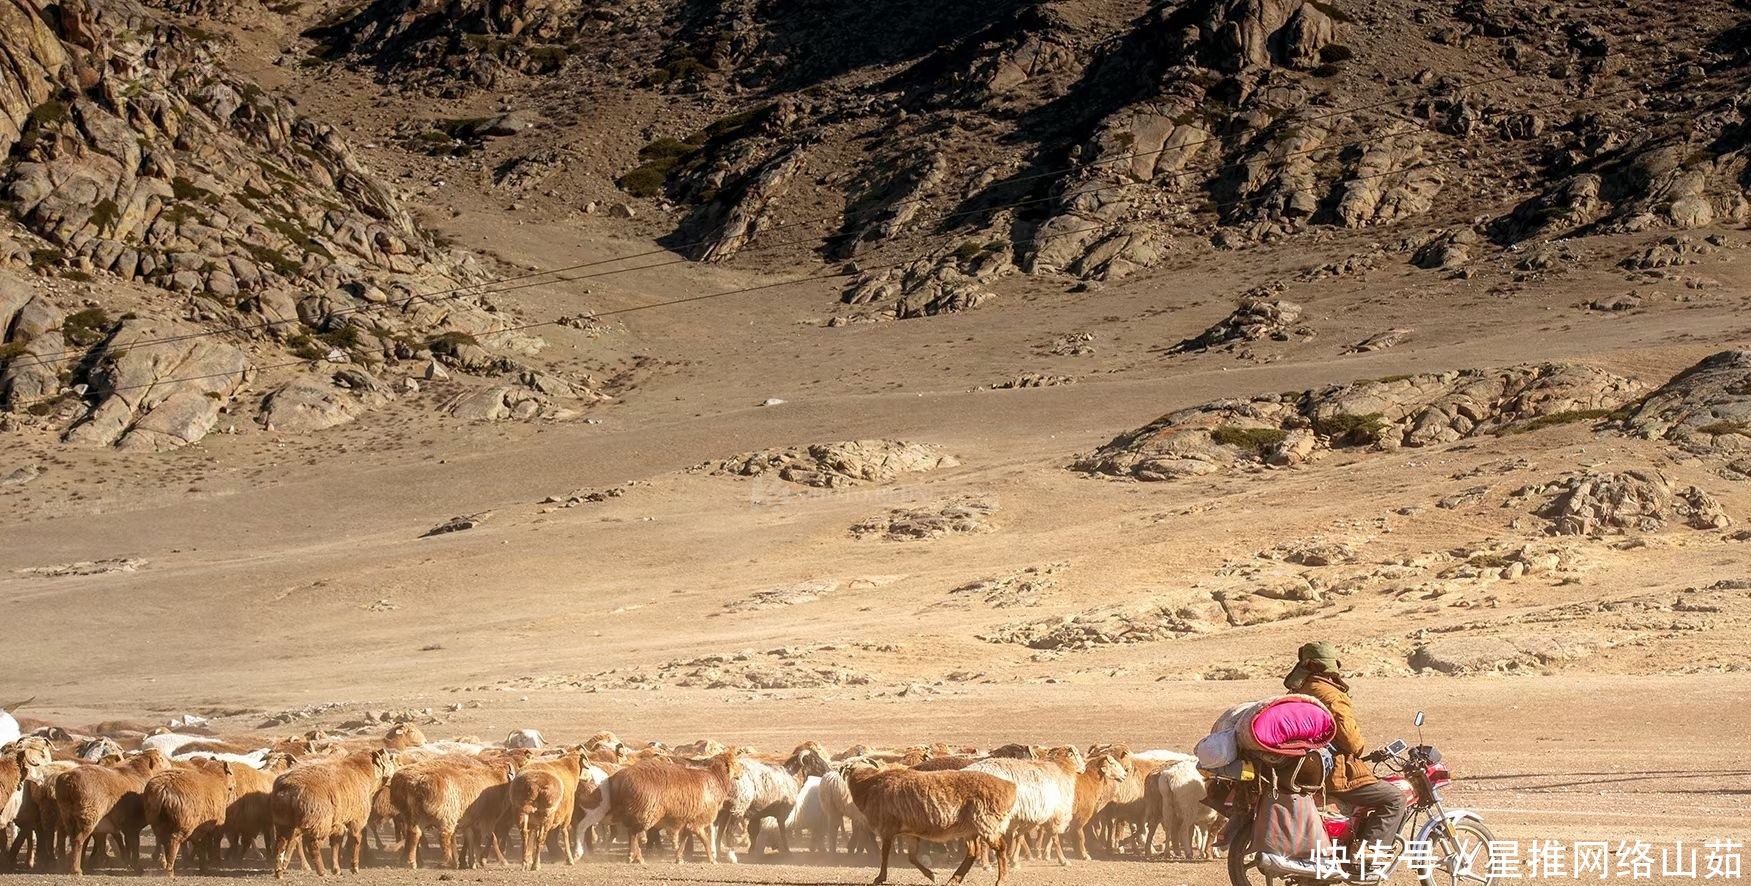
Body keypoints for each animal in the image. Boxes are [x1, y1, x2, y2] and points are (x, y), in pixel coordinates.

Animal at [269, 745, 397, 878]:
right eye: (389, 759)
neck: (362, 772)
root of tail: (288, 789)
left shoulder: (338, 822)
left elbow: (336, 843)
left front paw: (336, 868)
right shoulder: (357, 818)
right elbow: (357, 840)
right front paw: (354, 867)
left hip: (283, 821)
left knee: (281, 843)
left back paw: (279, 869)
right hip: (316, 820)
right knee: (308, 842)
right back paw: (318, 870)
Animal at [605, 745, 742, 864]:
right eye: (735, 762)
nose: (741, 772)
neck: (716, 778)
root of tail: (621, 778)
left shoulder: (689, 820)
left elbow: (684, 840)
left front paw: (679, 858)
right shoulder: (699, 821)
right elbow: (705, 841)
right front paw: (712, 859)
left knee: (632, 833)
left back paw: (635, 855)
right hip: (645, 812)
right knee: (633, 833)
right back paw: (635, 857)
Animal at [843, 759, 1015, 886]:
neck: (868, 784)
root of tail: (1009, 787)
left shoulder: (887, 827)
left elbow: (885, 854)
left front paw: (880, 878)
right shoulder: (910, 832)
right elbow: (911, 857)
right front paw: (932, 875)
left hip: (986, 823)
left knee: (1001, 848)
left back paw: (1002, 880)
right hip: (970, 828)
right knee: (973, 852)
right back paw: (954, 879)